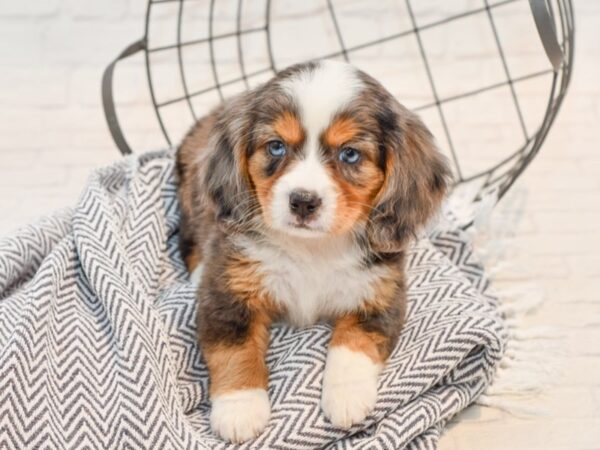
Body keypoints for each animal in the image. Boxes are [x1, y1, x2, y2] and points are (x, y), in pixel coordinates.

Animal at [176, 59, 448, 442]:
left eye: (350, 154)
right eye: (276, 147)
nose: (303, 201)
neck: (313, 249)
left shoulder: (381, 293)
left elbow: (355, 343)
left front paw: (348, 397)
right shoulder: (227, 294)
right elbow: (234, 349)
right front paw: (239, 408)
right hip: (191, 197)